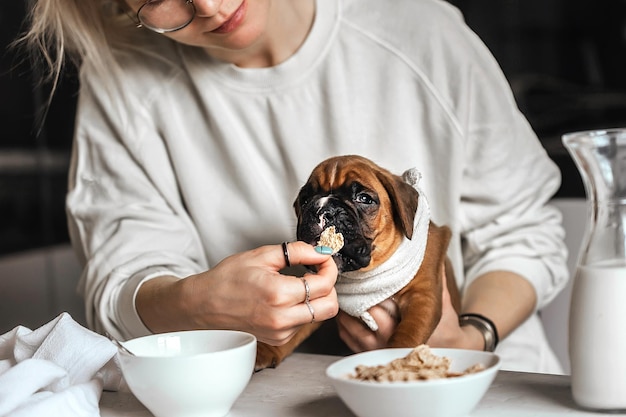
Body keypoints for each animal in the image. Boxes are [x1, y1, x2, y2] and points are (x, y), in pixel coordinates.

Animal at [254, 155, 458, 368]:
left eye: (364, 199)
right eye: (305, 200)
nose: (323, 210)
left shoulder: (422, 298)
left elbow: (406, 336)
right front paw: (265, 351)